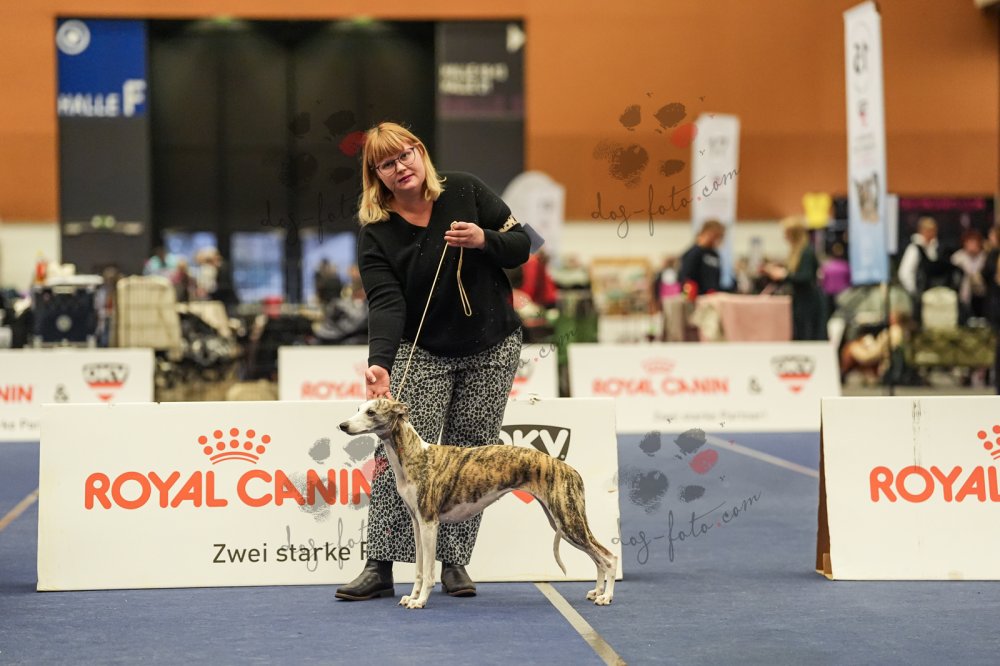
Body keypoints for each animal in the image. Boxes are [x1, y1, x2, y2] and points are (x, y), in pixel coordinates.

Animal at [338, 397, 618, 609]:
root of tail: (570, 470)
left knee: (608, 556)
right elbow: (419, 568)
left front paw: (421, 601)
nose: (342, 425)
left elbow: (428, 571)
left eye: (371, 412)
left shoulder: (430, 523)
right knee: (597, 558)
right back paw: (596, 592)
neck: (415, 455)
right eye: (358, 408)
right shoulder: (417, 523)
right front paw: (412, 597)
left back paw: (606, 596)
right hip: (562, 521)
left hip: (569, 522)